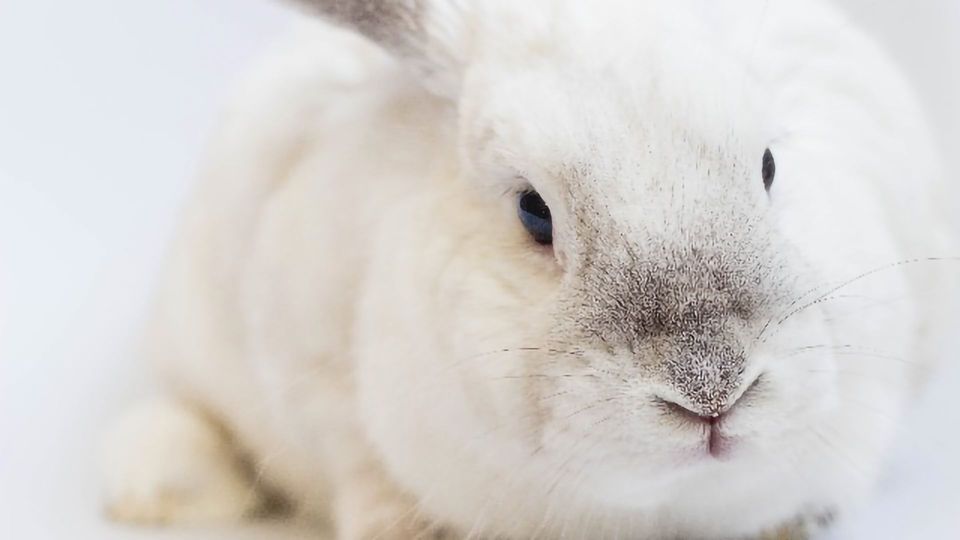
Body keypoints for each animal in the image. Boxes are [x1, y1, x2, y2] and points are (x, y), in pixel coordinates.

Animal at [101, 0, 958, 538]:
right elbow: (362, 471)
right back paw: (151, 491)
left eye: (771, 165)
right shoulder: (315, 380)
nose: (712, 389)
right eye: (533, 212)